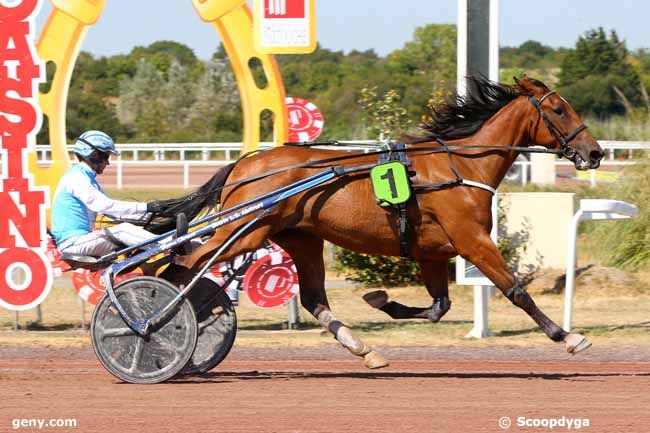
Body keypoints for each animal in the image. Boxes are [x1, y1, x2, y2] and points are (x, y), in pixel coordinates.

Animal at [152, 77, 604, 368]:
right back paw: (159, 321)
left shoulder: (433, 252)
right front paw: (568, 337)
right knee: (185, 263)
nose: (595, 152)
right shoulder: (472, 240)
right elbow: (516, 291)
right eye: (559, 109)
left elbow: (438, 307)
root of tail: (243, 165)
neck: (460, 167)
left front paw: (382, 300)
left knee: (313, 298)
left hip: (300, 238)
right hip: (243, 231)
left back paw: (363, 349)